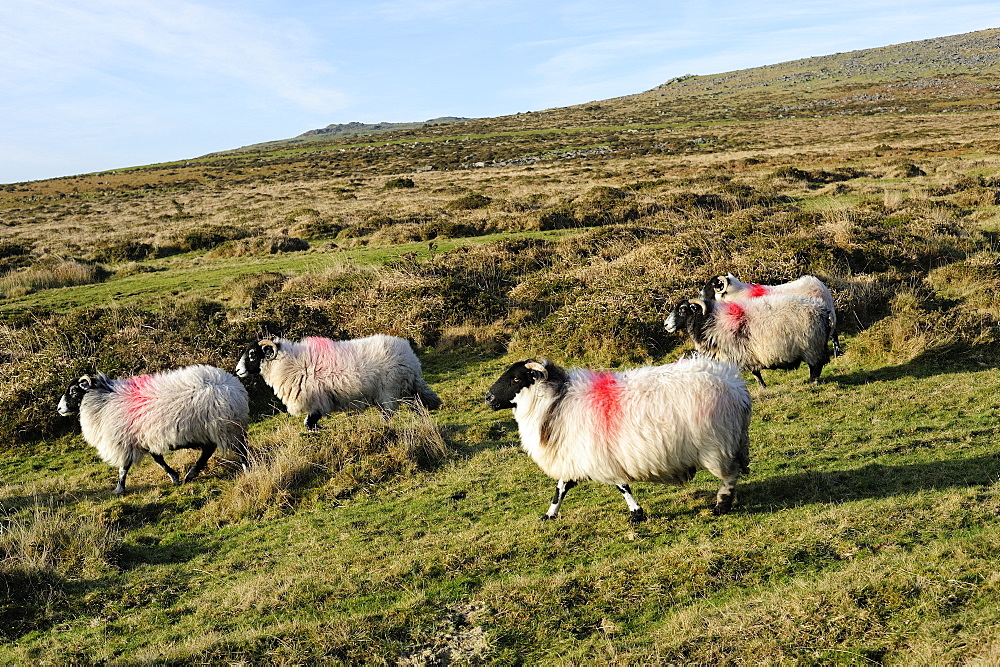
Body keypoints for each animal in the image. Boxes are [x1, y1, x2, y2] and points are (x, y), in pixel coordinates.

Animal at [57, 366, 250, 496]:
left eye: (73, 390)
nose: (59, 408)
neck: (104, 401)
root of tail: (235, 387)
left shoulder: (125, 441)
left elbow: (123, 468)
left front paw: (119, 489)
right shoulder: (144, 437)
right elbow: (158, 460)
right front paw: (174, 477)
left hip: (227, 428)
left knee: (239, 450)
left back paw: (247, 469)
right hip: (212, 429)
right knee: (208, 449)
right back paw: (191, 475)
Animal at [236, 332, 440, 430]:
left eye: (252, 354)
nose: (237, 371)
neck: (288, 363)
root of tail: (410, 356)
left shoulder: (317, 401)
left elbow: (309, 424)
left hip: (390, 390)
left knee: (391, 412)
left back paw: (384, 426)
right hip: (404, 389)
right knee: (417, 404)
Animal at [484, 358, 752, 524]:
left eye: (516, 379)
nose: (488, 398)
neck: (555, 403)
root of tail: (736, 387)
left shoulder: (601, 457)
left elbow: (622, 486)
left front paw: (636, 515)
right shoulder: (575, 455)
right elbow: (560, 488)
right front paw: (550, 515)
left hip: (717, 445)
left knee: (730, 474)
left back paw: (721, 505)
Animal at [664, 294, 828, 392]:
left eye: (683, 310)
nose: (666, 325)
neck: (708, 320)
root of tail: (822, 310)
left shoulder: (738, 353)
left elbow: (754, 373)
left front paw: (761, 386)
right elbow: (756, 373)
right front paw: (763, 387)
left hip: (812, 346)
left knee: (816, 366)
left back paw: (814, 382)